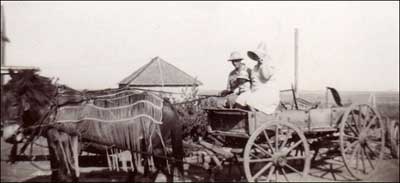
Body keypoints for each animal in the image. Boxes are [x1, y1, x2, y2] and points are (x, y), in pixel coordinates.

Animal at [0, 69, 184, 182]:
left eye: (15, 103)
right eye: (2, 101)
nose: (8, 135)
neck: (56, 109)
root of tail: (166, 102)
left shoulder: (65, 144)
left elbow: (66, 175)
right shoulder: (55, 145)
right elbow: (58, 174)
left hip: (155, 146)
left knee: (163, 170)